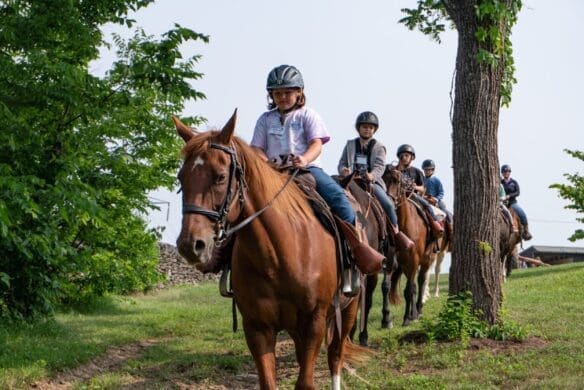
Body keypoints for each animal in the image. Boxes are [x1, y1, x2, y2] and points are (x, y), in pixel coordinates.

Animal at [173, 111, 362, 388]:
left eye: (220, 176)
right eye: (181, 178)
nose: (190, 245)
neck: (278, 256)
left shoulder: (314, 322)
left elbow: (306, 381)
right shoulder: (257, 327)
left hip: (349, 309)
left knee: (335, 357)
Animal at [378, 165, 438, 326]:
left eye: (397, 181)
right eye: (382, 179)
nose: (387, 202)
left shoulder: (413, 260)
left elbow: (409, 289)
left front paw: (407, 318)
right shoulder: (390, 260)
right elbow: (386, 287)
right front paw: (386, 319)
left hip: (425, 261)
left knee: (421, 282)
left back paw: (418, 311)